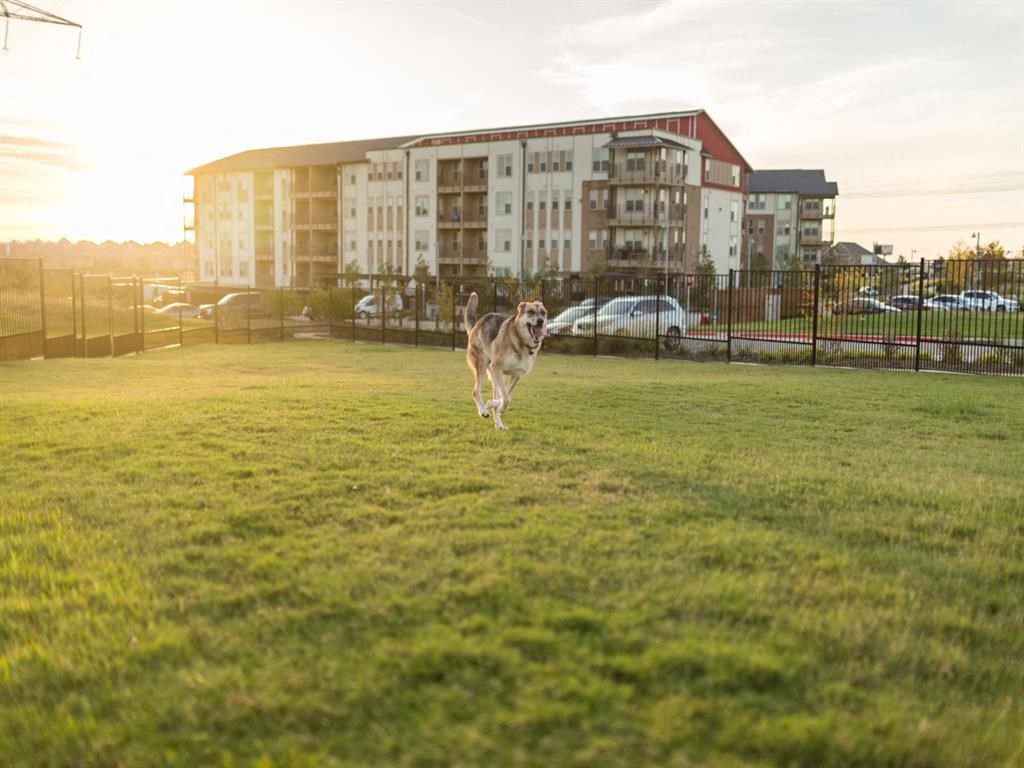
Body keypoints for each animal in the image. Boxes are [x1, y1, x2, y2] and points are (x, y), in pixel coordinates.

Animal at [466, 290, 548, 430]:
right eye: (531, 312)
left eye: (543, 313)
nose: (541, 321)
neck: (522, 342)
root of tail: (477, 323)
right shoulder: (497, 367)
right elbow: (506, 397)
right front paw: (498, 407)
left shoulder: (516, 375)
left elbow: (506, 395)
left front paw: (493, 404)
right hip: (483, 365)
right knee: (475, 391)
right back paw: (483, 411)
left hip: (495, 376)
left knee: (496, 392)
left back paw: (498, 424)